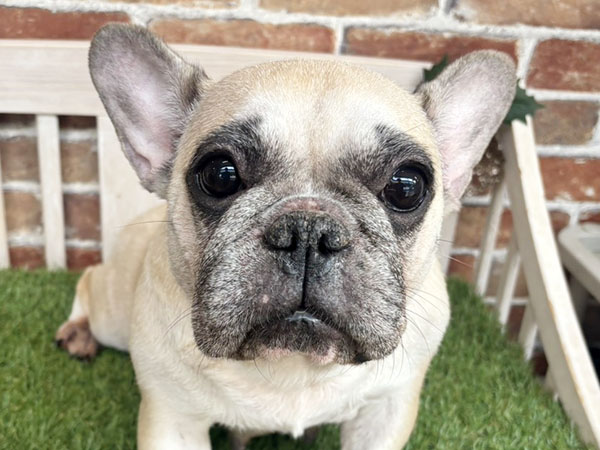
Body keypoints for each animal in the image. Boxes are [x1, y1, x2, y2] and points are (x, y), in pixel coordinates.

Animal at [55, 24, 516, 449]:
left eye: (407, 187)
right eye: (220, 175)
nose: (308, 231)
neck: (295, 365)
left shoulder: (385, 412)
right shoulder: (173, 417)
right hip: (114, 314)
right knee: (90, 279)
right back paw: (77, 332)